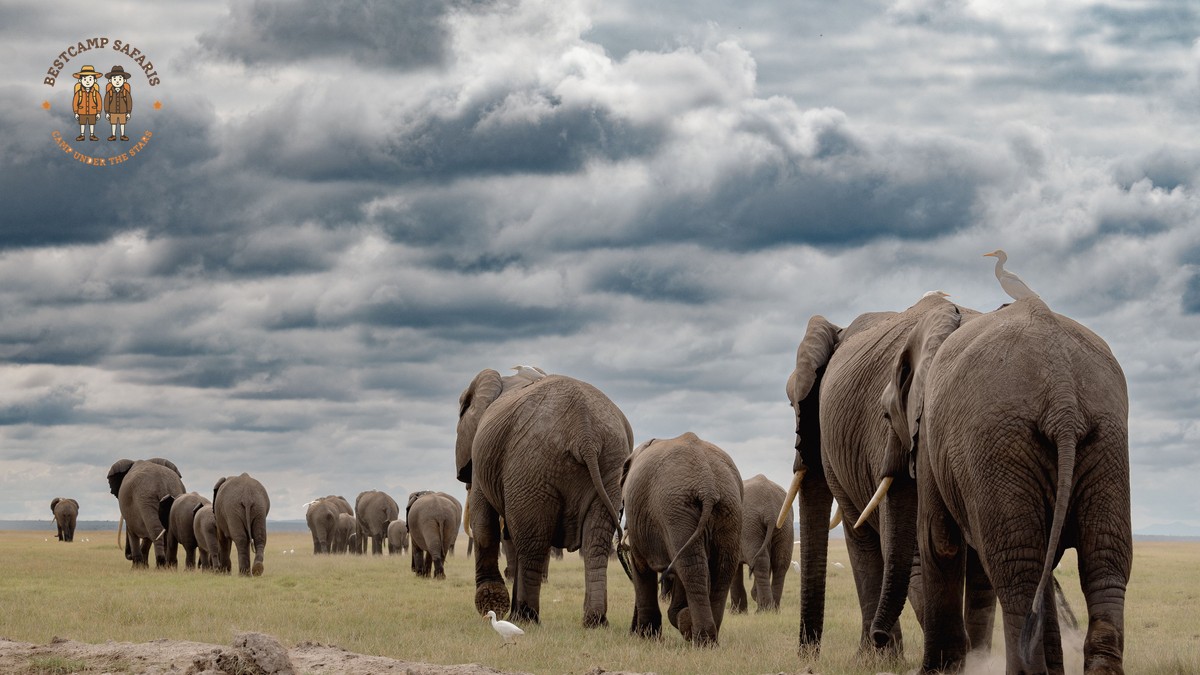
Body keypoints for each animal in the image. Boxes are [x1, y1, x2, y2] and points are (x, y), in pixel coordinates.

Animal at [456, 368, 632, 627]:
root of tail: (585, 432)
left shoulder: (483, 458)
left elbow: (484, 522)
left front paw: (492, 603)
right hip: (611, 463)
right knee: (595, 543)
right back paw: (595, 621)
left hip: (531, 465)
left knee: (533, 543)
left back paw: (526, 617)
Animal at [621, 433, 743, 645]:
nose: (632, 631)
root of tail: (708, 485)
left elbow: (641, 568)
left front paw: (647, 637)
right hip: (728, 508)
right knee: (722, 568)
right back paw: (707, 638)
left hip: (674, 510)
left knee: (691, 569)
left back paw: (700, 638)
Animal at [729, 474, 791, 613]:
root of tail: (771, 510)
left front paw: (736, 613)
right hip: (784, 524)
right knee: (780, 562)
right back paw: (773, 610)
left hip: (749, 525)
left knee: (761, 562)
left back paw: (765, 610)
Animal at [880, 296, 1131, 674]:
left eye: (885, 414)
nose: (878, 639)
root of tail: (1063, 394)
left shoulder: (930, 437)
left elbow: (938, 540)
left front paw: (935, 671)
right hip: (1107, 438)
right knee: (1104, 562)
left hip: (997, 441)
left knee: (1017, 569)